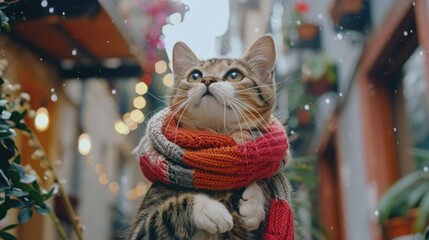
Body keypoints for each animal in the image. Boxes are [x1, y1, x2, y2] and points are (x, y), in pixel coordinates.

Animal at [127, 35, 290, 240]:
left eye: (234, 75)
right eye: (195, 76)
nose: (207, 79)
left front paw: (254, 202)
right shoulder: (140, 229)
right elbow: (163, 215)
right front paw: (210, 210)